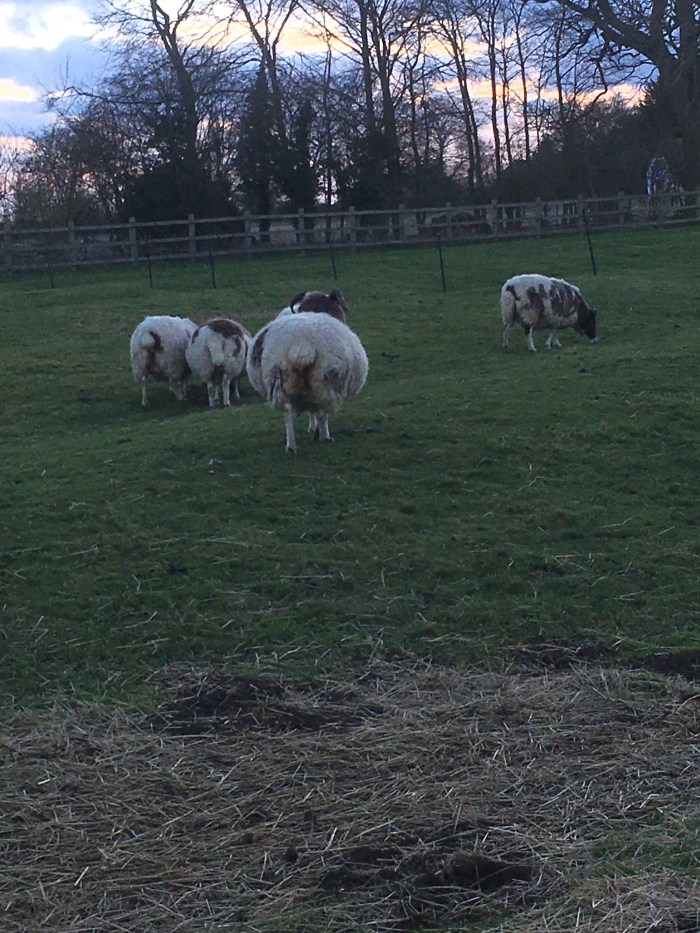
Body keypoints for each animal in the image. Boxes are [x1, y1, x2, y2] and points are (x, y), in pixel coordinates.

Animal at [247, 311, 368, 453]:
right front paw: (318, 430)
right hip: (324, 377)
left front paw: (312, 426)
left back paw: (291, 446)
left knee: (287, 410)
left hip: (281, 376)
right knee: (323, 409)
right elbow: (319, 411)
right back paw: (324, 436)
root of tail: (302, 346)